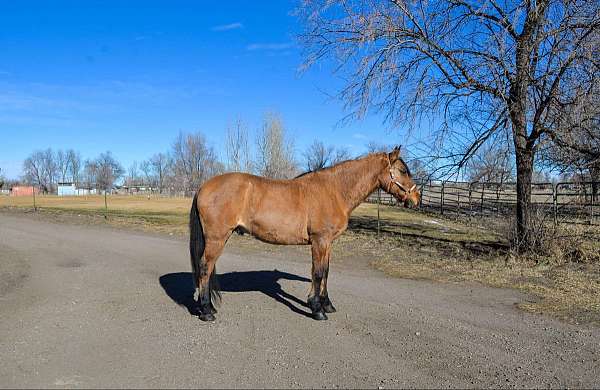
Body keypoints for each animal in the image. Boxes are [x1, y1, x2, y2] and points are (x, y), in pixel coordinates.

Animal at [190, 145, 420, 320]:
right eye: (403, 171)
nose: (416, 199)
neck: (334, 190)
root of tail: (203, 187)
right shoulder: (320, 241)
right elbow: (317, 273)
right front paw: (317, 310)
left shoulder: (328, 243)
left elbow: (325, 272)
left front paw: (327, 305)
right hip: (217, 239)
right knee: (204, 268)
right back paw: (206, 311)